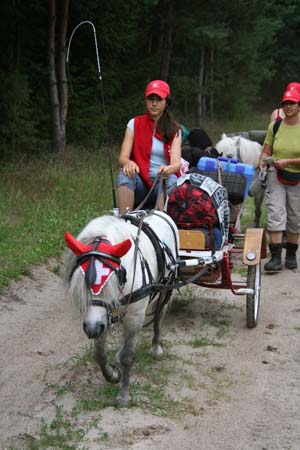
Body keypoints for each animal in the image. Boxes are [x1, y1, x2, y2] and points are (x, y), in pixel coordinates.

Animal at [63, 211, 178, 404]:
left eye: (113, 280)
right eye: (82, 283)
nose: (92, 329)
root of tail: (159, 212)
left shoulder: (135, 316)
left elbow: (127, 357)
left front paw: (124, 393)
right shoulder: (100, 318)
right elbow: (99, 354)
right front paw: (112, 374)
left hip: (165, 289)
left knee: (158, 317)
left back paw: (156, 347)